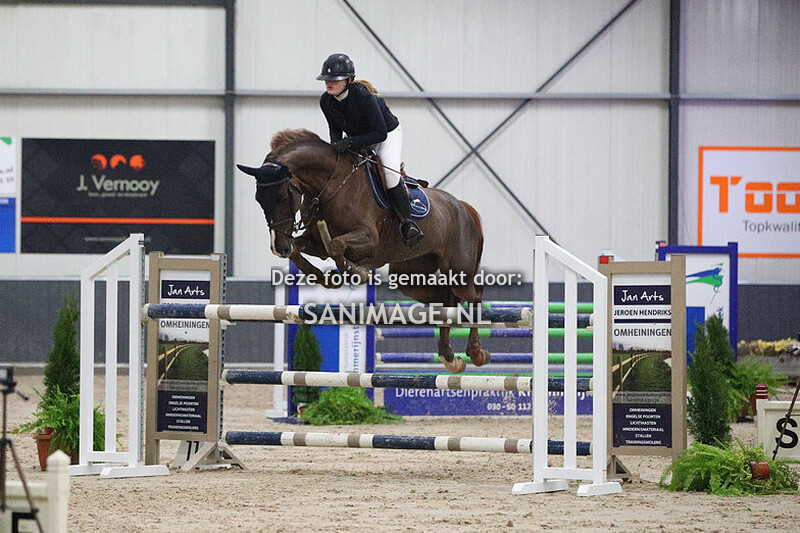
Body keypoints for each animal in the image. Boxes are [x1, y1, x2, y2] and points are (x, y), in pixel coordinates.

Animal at [237, 129, 487, 374]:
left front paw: (355, 272)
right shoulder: (316, 243)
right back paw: (449, 356)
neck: (332, 184)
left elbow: (337, 246)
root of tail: (464, 207)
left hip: (459, 271)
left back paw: (475, 352)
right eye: (259, 200)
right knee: (445, 299)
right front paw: (325, 278)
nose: (278, 247)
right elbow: (301, 251)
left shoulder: (369, 240)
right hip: (409, 276)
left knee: (474, 294)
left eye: (282, 197)